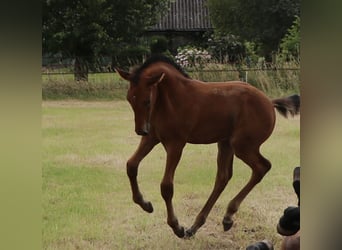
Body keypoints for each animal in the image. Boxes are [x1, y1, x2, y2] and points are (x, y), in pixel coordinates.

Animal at [115, 55, 300, 238]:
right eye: (129, 99)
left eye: (147, 101)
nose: (140, 130)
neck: (171, 99)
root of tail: (269, 102)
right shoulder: (152, 138)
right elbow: (131, 165)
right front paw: (145, 204)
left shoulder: (176, 144)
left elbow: (166, 186)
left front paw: (176, 227)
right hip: (225, 143)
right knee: (223, 177)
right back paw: (203, 224)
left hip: (242, 146)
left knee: (262, 167)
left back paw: (225, 216)